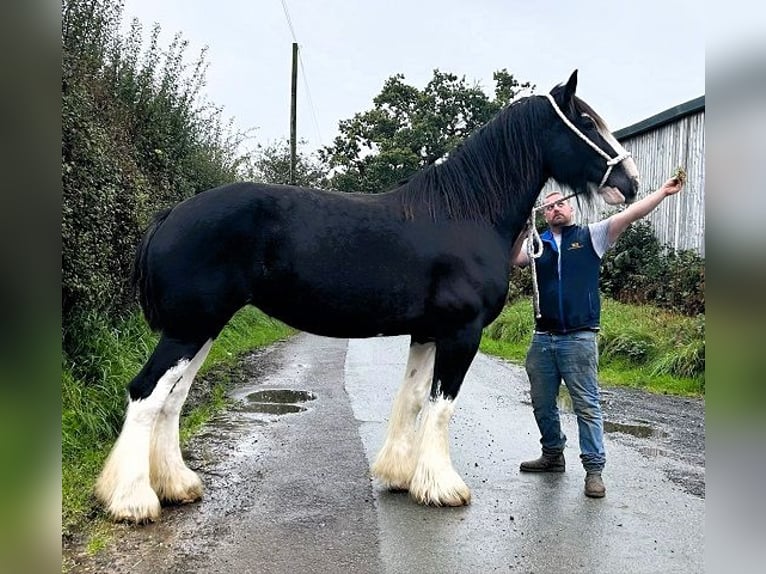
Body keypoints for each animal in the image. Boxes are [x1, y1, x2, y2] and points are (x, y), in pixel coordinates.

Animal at [96, 70, 640, 524]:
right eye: (586, 122)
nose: (630, 183)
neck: (465, 212)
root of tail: (171, 214)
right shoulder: (460, 333)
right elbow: (442, 404)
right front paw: (443, 488)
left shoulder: (428, 332)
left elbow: (414, 397)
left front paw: (400, 476)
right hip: (189, 328)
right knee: (146, 394)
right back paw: (133, 502)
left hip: (202, 328)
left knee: (172, 399)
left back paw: (177, 486)